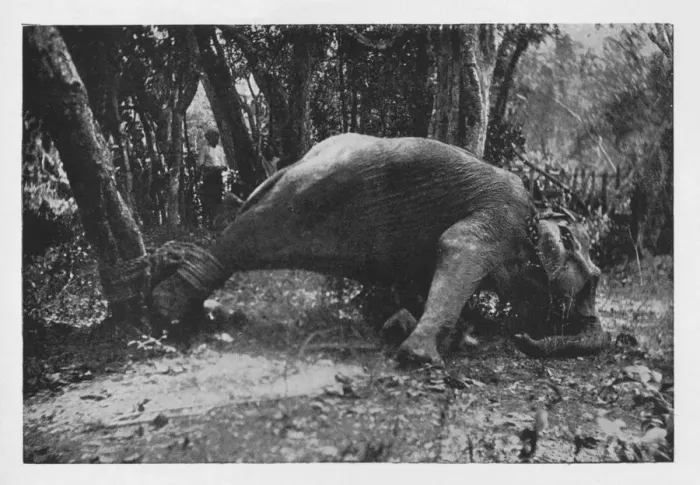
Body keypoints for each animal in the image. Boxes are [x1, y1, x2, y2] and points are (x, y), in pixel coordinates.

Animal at [151, 133, 610, 367]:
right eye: (593, 281)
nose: (523, 339)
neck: (538, 208)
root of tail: (288, 168)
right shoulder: (501, 216)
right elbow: (457, 246)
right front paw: (421, 356)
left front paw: (406, 328)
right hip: (308, 196)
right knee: (240, 244)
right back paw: (168, 308)